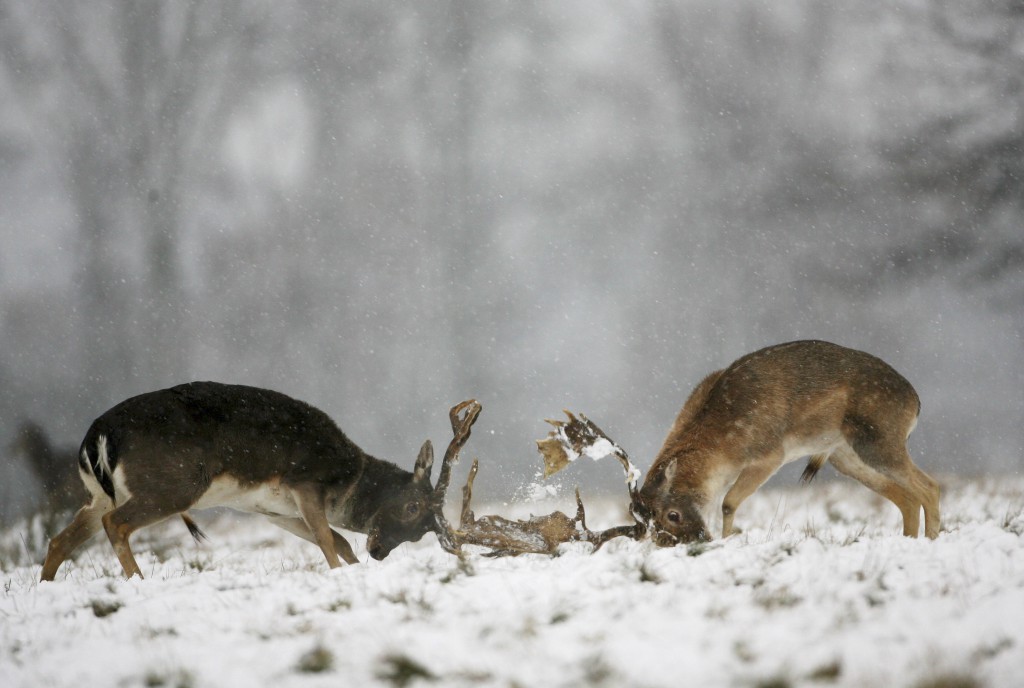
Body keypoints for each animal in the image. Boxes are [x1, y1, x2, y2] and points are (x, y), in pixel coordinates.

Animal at [39, 380, 444, 581]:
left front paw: (354, 568)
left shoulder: (273, 510)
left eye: (424, 531)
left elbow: (336, 539)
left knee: (61, 538)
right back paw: (137, 580)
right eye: (413, 506)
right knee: (116, 523)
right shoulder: (305, 481)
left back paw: (45, 583)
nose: (379, 552)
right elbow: (328, 539)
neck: (347, 480)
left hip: (100, 493)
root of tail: (97, 435)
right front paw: (338, 574)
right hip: (174, 483)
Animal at [638, 341, 942, 544]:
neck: (724, 446)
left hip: (880, 440)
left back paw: (930, 539)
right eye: (642, 518)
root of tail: (915, 402)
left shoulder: (770, 453)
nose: (693, 541)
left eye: (673, 515)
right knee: (906, 498)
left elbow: (728, 502)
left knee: (929, 486)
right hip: (845, 456)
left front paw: (726, 540)